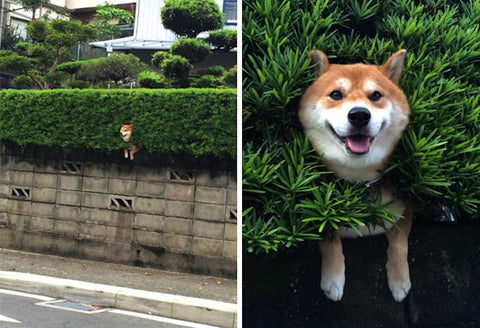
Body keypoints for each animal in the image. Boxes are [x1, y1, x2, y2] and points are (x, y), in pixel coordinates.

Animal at [298, 49, 410, 302]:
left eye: (376, 95)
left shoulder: (407, 205)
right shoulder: (314, 209)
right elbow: (328, 237)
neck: (359, 181)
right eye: (336, 94)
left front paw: (399, 281)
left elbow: (400, 242)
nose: (359, 114)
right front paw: (333, 278)